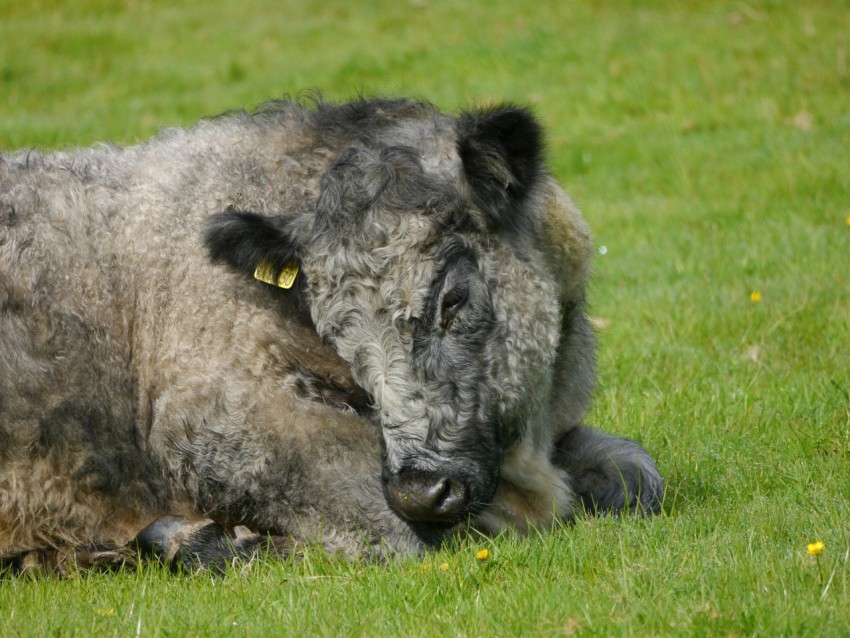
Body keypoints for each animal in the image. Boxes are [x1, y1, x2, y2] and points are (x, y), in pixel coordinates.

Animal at [0, 99, 660, 576]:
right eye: (339, 334)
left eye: (452, 298)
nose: (420, 490)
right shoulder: (219, 420)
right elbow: (392, 537)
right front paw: (205, 542)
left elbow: (634, 473)